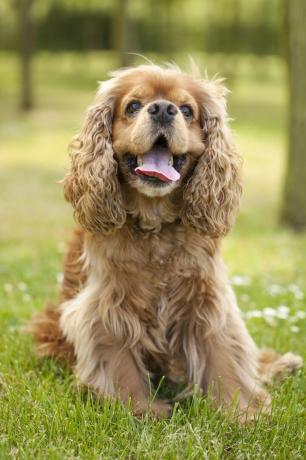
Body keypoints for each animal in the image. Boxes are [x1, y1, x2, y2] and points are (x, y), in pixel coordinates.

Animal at [29, 64, 304, 420]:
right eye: (133, 105)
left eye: (187, 110)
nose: (162, 109)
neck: (154, 225)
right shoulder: (106, 304)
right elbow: (119, 363)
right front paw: (140, 409)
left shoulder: (206, 297)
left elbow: (224, 356)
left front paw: (240, 411)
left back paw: (282, 365)